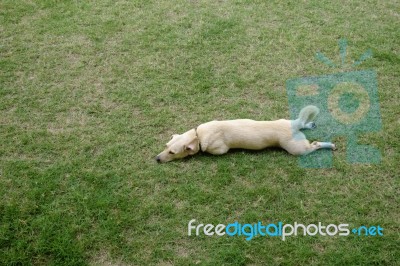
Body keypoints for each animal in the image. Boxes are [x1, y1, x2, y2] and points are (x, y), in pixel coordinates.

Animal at [155, 105, 336, 163]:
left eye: (172, 152)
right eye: (166, 146)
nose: (156, 159)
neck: (198, 136)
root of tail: (294, 126)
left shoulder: (220, 150)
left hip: (298, 149)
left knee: (315, 145)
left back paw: (330, 145)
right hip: (292, 124)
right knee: (304, 124)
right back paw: (309, 124)